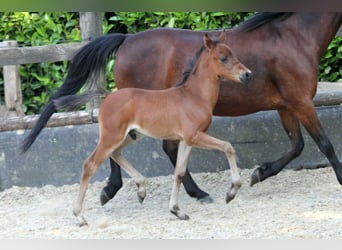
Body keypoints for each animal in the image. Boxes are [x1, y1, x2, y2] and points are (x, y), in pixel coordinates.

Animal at [56, 33, 251, 225]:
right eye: (223, 58)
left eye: (234, 54)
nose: (247, 74)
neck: (193, 96)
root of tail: (108, 95)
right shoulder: (194, 136)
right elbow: (228, 147)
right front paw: (231, 192)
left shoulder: (186, 140)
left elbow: (179, 172)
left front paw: (177, 211)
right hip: (112, 136)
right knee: (90, 165)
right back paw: (80, 216)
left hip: (132, 135)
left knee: (116, 153)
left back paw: (141, 189)